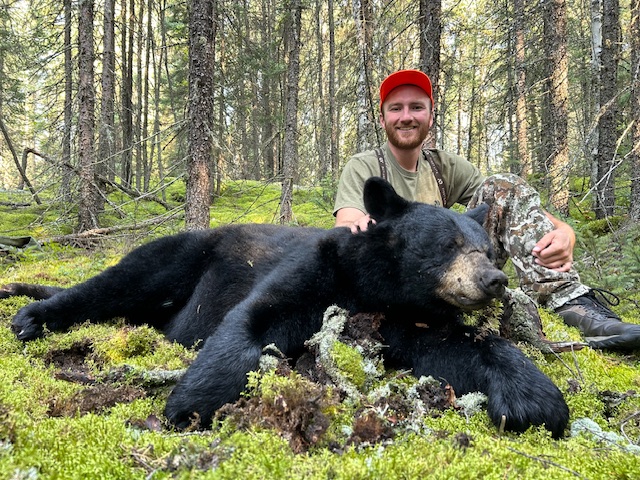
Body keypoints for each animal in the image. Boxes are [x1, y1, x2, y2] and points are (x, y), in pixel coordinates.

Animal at [1, 177, 569, 438]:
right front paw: (191, 403)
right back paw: (33, 315)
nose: (494, 280)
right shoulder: (317, 274)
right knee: (119, 281)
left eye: (487, 249)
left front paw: (534, 400)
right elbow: (255, 320)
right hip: (182, 255)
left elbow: (460, 347)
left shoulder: (404, 317)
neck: (373, 288)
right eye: (448, 244)